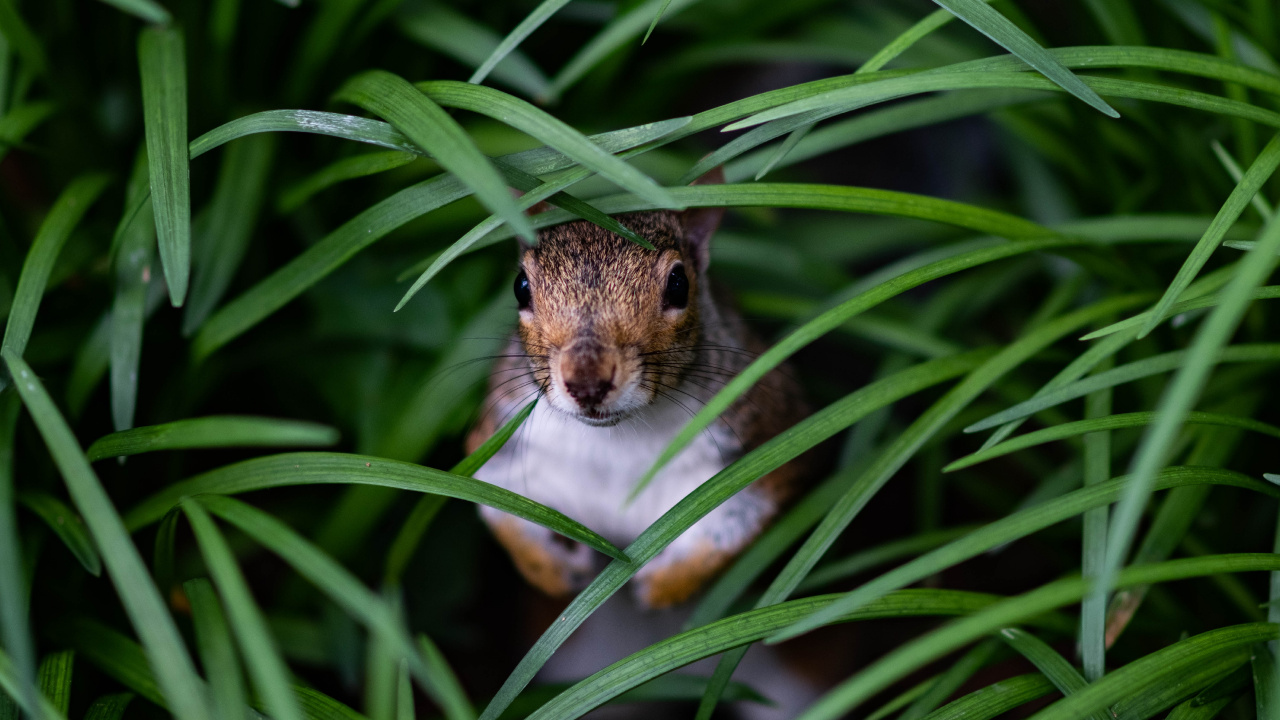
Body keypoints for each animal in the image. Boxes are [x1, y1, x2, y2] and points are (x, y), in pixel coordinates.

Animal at [466, 169, 813, 609]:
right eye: (521, 286)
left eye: (679, 284)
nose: (587, 382)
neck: (616, 441)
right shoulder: (501, 443)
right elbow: (500, 512)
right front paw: (552, 570)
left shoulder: (765, 441)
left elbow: (732, 533)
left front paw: (663, 584)